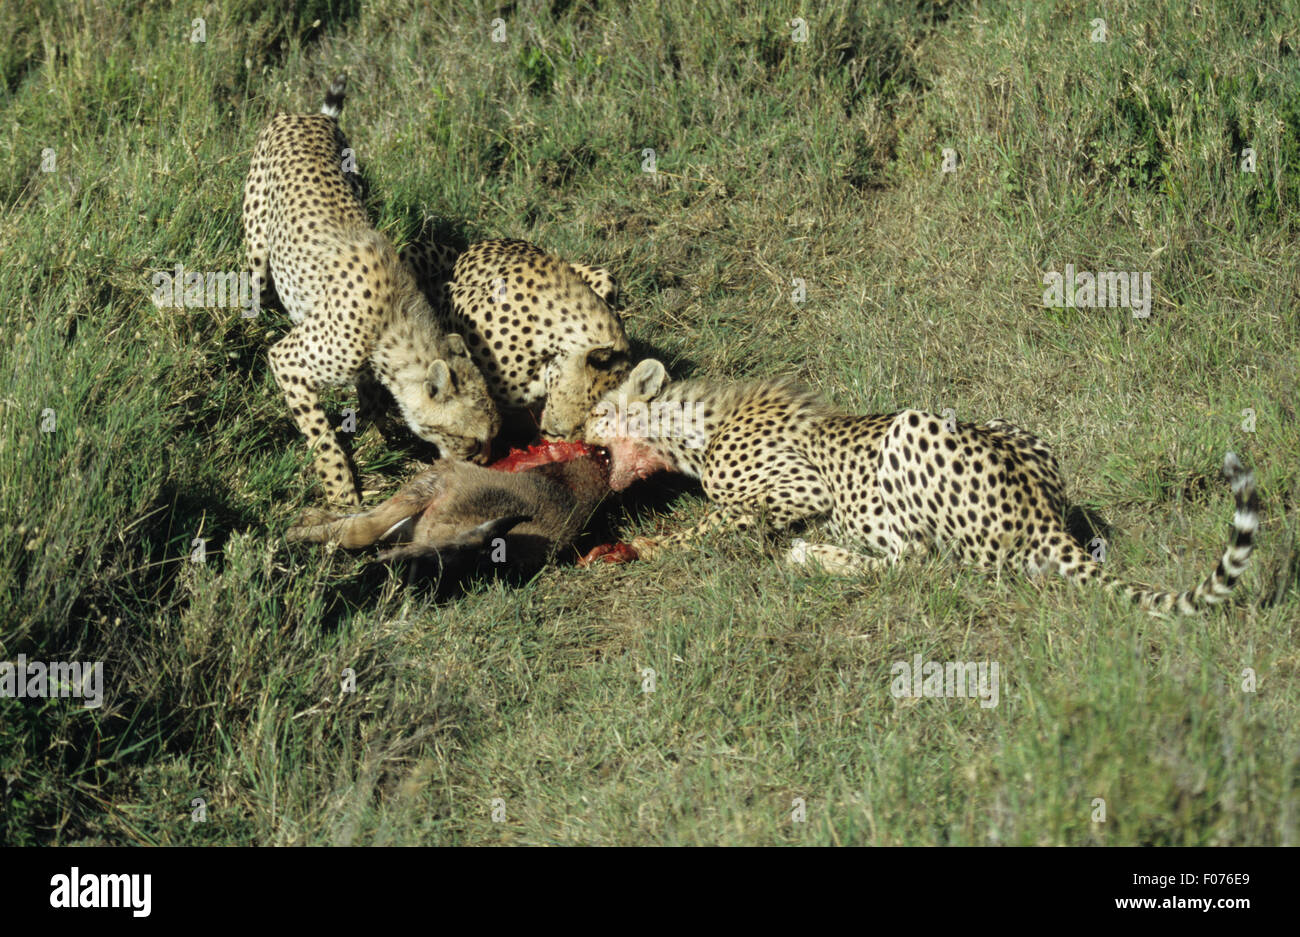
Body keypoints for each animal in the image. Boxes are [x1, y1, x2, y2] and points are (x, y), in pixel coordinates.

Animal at [242, 75, 500, 506]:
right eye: (472, 439)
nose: (485, 464)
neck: (392, 327)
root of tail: (308, 116)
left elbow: (372, 398)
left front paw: (379, 430)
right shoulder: (289, 360)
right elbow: (323, 439)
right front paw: (343, 496)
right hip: (258, 241)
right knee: (254, 286)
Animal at [580, 359, 1260, 615]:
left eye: (596, 414)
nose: (572, 432)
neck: (694, 430)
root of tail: (1043, 515)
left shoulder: (801, 490)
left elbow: (709, 522)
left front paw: (638, 549)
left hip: (911, 426)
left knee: (919, 563)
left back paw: (812, 555)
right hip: (1004, 428)